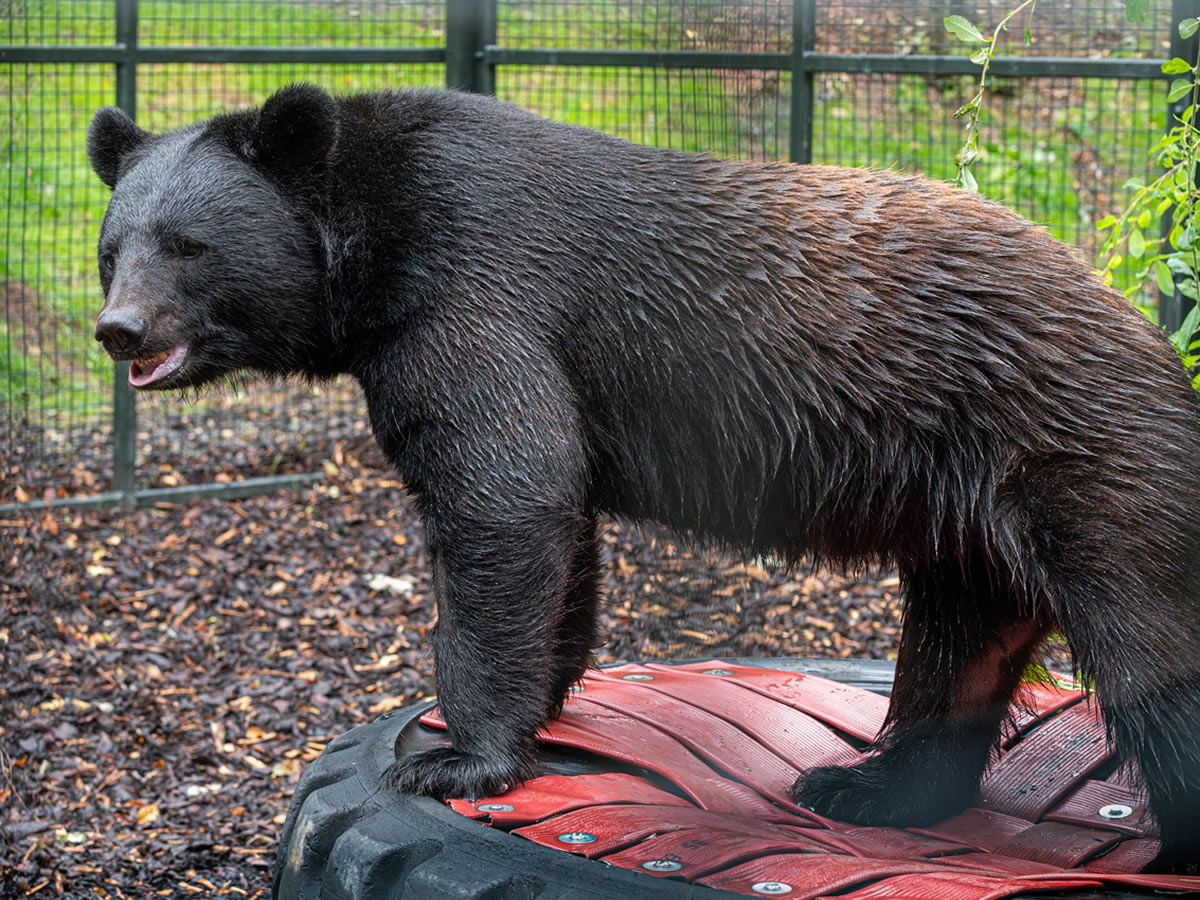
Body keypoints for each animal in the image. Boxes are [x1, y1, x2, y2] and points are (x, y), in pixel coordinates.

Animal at [88, 84, 1200, 873]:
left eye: (188, 245)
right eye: (110, 248)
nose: (119, 330)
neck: (373, 244)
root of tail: (1150, 339)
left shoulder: (472, 293)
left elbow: (505, 491)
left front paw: (456, 757)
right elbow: (554, 515)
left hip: (1089, 461)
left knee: (1154, 652)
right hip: (970, 504)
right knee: (959, 642)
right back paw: (868, 787)